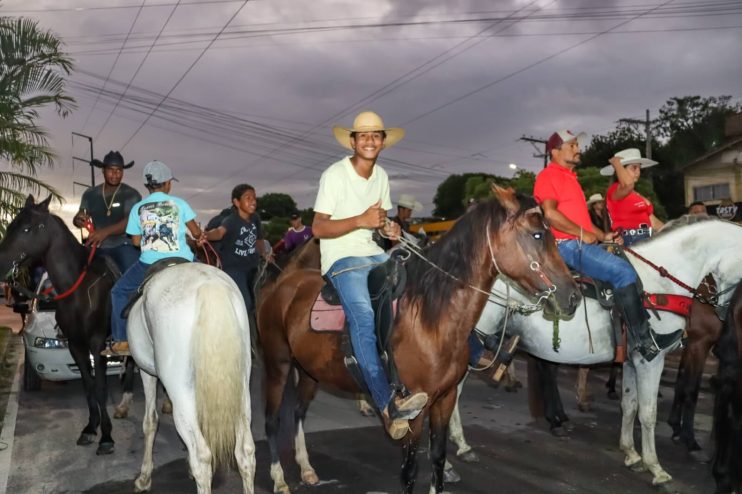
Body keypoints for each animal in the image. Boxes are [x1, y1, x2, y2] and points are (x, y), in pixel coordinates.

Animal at [128, 264, 256, 492]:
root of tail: (209, 284)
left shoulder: (146, 372)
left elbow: (150, 422)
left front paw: (144, 478)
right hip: (241, 393)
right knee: (245, 452)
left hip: (182, 397)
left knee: (202, 458)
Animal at [258, 186, 584, 494]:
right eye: (537, 234)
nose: (573, 296)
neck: (430, 317)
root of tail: (281, 283)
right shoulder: (415, 413)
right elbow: (410, 471)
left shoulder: (445, 399)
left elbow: (438, 459)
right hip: (277, 363)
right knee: (272, 420)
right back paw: (279, 479)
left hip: (309, 371)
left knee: (299, 412)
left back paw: (306, 469)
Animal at [448, 217, 742, 486]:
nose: (725, 315)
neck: (661, 285)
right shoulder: (652, 360)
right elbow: (648, 413)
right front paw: (656, 468)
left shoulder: (632, 361)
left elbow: (629, 405)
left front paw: (631, 454)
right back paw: (456, 454)